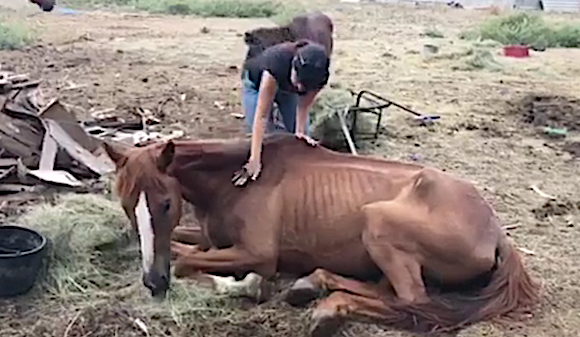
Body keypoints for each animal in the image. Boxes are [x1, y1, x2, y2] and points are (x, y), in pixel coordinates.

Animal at [103, 135, 540, 336]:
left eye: (165, 203)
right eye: (125, 203)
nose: (153, 283)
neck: (235, 181)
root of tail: (497, 231)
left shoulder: (258, 253)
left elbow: (186, 259)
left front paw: (245, 286)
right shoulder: (211, 238)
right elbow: (180, 245)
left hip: (377, 222)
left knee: (414, 302)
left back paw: (330, 308)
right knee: (389, 293)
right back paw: (313, 286)